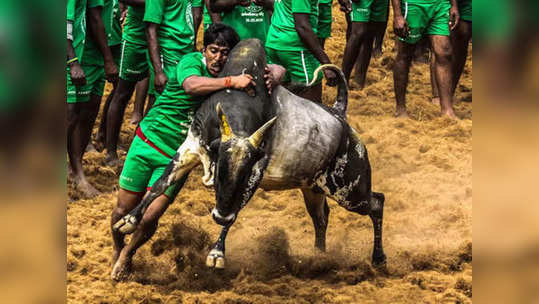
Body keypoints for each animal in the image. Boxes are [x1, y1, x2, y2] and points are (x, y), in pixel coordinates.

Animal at [112, 39, 386, 270]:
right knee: (321, 217)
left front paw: (217, 253)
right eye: (220, 172)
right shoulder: (191, 146)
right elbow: (160, 183)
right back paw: (319, 257)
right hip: (314, 188)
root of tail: (340, 116)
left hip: (349, 190)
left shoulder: (256, 170)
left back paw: (378, 259)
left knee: (377, 203)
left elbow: (235, 210)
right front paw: (129, 220)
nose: (218, 215)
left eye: (242, 175)